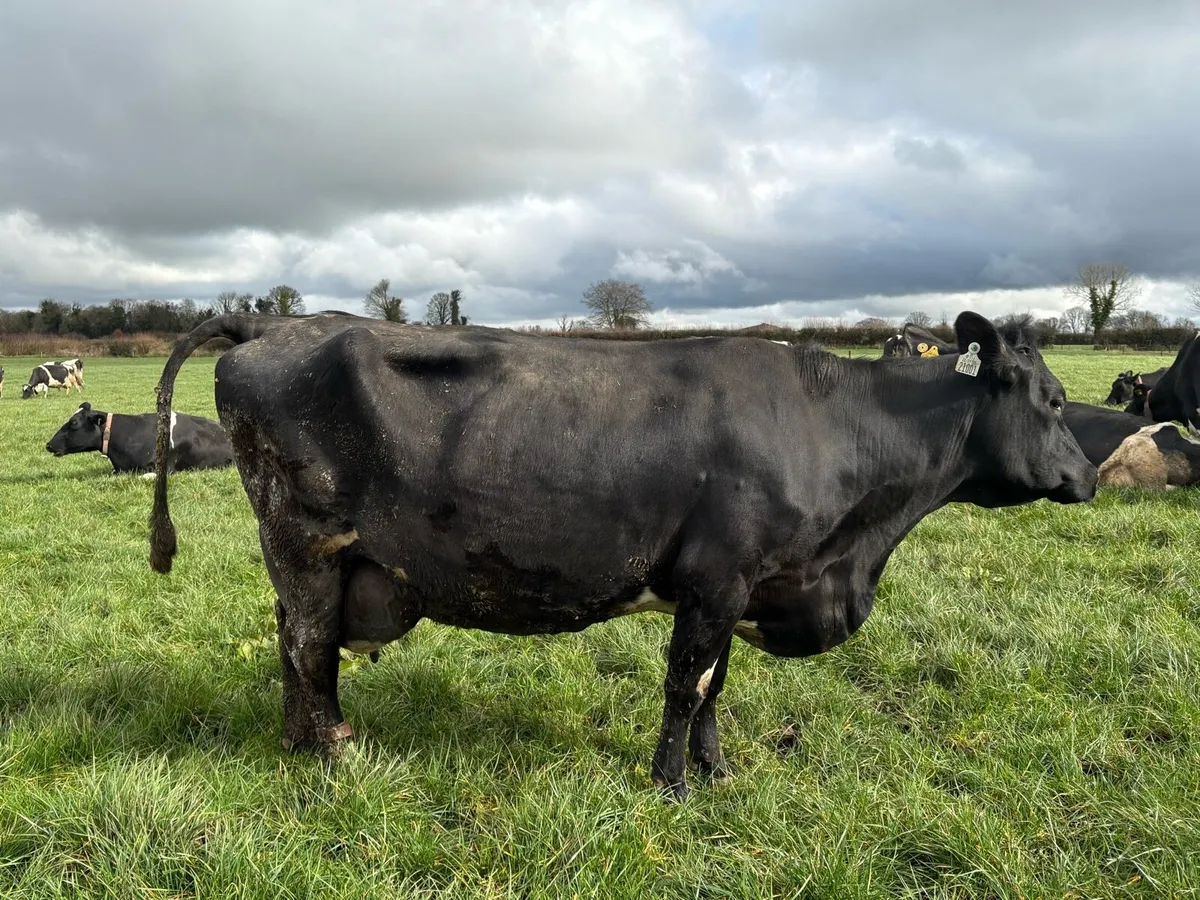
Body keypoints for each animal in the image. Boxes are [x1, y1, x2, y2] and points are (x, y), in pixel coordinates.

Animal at [147, 310, 1096, 801]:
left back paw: (295, 746)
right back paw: (333, 755)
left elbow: (716, 687)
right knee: (310, 650)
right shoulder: (717, 577)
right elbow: (686, 684)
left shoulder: (740, 583)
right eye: (1053, 400)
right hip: (307, 543)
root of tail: (273, 321)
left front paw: (715, 771)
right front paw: (672, 784)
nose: (1088, 476)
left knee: (289, 646)